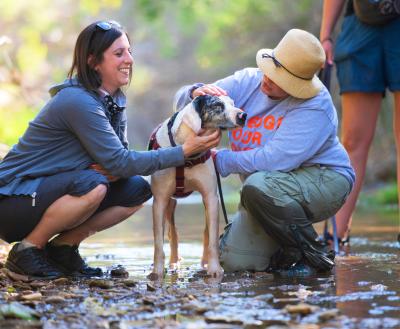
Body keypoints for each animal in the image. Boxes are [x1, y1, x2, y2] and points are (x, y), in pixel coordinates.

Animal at [148, 94, 245, 280]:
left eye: (233, 103)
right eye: (217, 105)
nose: (243, 115)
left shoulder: (211, 198)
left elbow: (212, 238)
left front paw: (214, 269)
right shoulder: (159, 201)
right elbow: (158, 242)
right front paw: (157, 271)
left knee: (205, 232)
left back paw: (203, 262)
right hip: (170, 203)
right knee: (173, 232)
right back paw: (173, 263)